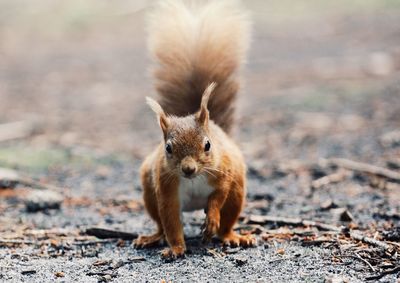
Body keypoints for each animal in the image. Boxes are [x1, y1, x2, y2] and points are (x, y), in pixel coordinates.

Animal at [135, 0, 253, 260]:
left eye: (208, 145)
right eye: (168, 148)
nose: (188, 169)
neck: (193, 179)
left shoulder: (223, 173)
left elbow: (218, 197)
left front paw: (211, 221)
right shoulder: (166, 189)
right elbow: (171, 223)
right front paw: (176, 249)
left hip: (237, 194)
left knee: (227, 220)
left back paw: (231, 236)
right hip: (149, 194)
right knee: (161, 225)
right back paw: (152, 238)